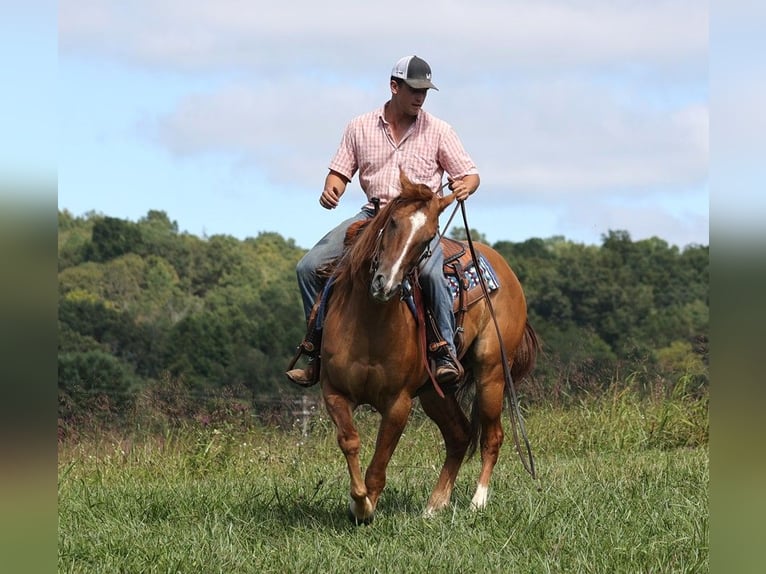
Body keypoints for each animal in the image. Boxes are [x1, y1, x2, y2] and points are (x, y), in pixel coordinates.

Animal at [318, 176, 540, 528]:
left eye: (426, 239)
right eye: (392, 223)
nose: (385, 285)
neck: (369, 322)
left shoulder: (398, 403)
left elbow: (380, 462)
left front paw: (367, 506)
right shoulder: (334, 392)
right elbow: (350, 441)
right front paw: (358, 501)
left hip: (490, 375)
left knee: (492, 437)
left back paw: (477, 502)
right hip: (435, 392)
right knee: (460, 435)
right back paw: (434, 505)